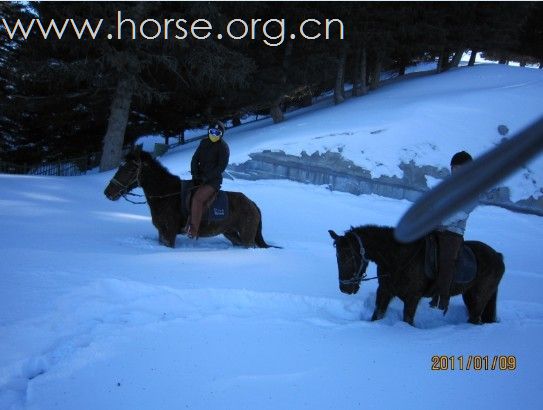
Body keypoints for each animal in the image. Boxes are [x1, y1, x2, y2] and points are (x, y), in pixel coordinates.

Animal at [104, 149, 274, 248]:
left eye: (130, 169)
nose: (108, 192)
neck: (167, 194)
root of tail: (252, 204)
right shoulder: (162, 233)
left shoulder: (169, 234)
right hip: (231, 233)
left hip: (246, 237)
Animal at [328, 224, 506, 326]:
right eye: (337, 256)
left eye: (349, 257)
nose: (344, 288)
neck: (398, 257)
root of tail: (498, 256)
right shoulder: (385, 291)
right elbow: (377, 315)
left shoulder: (412, 298)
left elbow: (408, 320)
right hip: (469, 296)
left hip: (478, 298)